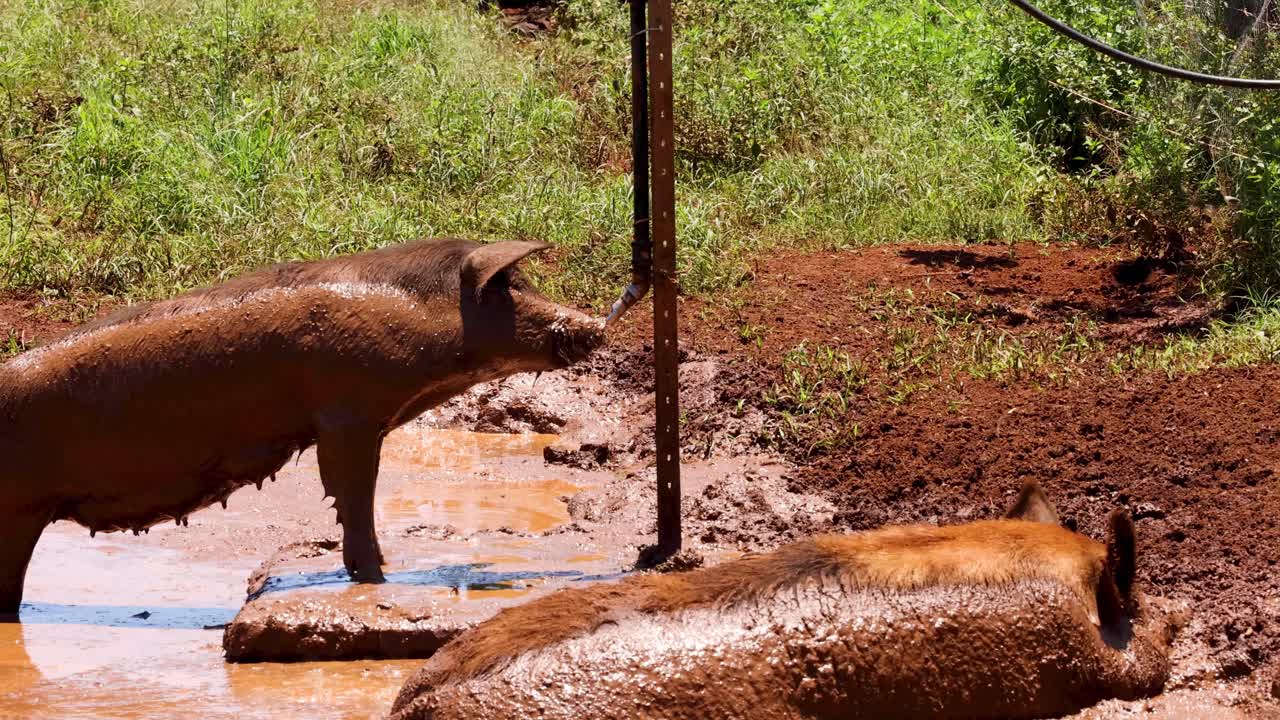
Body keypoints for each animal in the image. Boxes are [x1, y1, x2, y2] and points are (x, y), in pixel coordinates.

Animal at [0, 238, 604, 614]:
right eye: (512, 288)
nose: (594, 326)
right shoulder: (347, 414)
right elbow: (352, 496)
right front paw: (375, 579)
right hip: (17, 506)